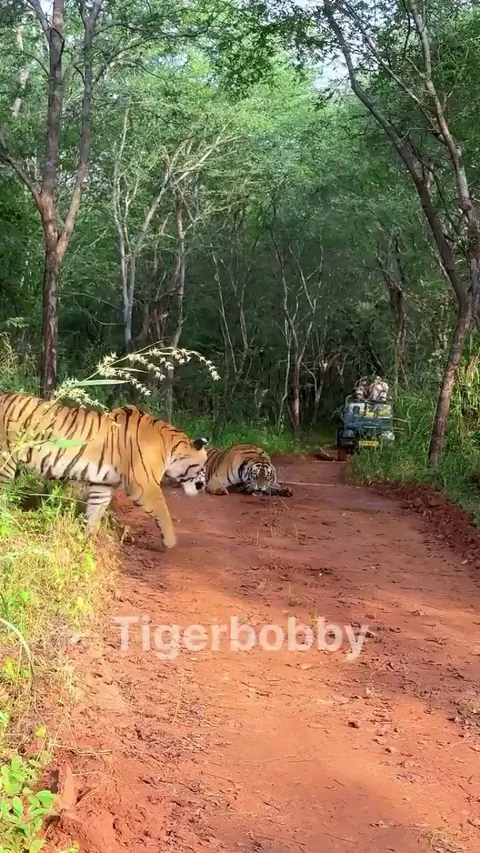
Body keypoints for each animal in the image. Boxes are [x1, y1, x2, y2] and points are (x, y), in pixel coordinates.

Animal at [0, 393, 208, 549]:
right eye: (204, 467)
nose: (203, 486)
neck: (171, 448)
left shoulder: (103, 484)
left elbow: (95, 510)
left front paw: (88, 540)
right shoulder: (144, 486)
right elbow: (163, 511)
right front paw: (171, 541)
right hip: (6, 462)